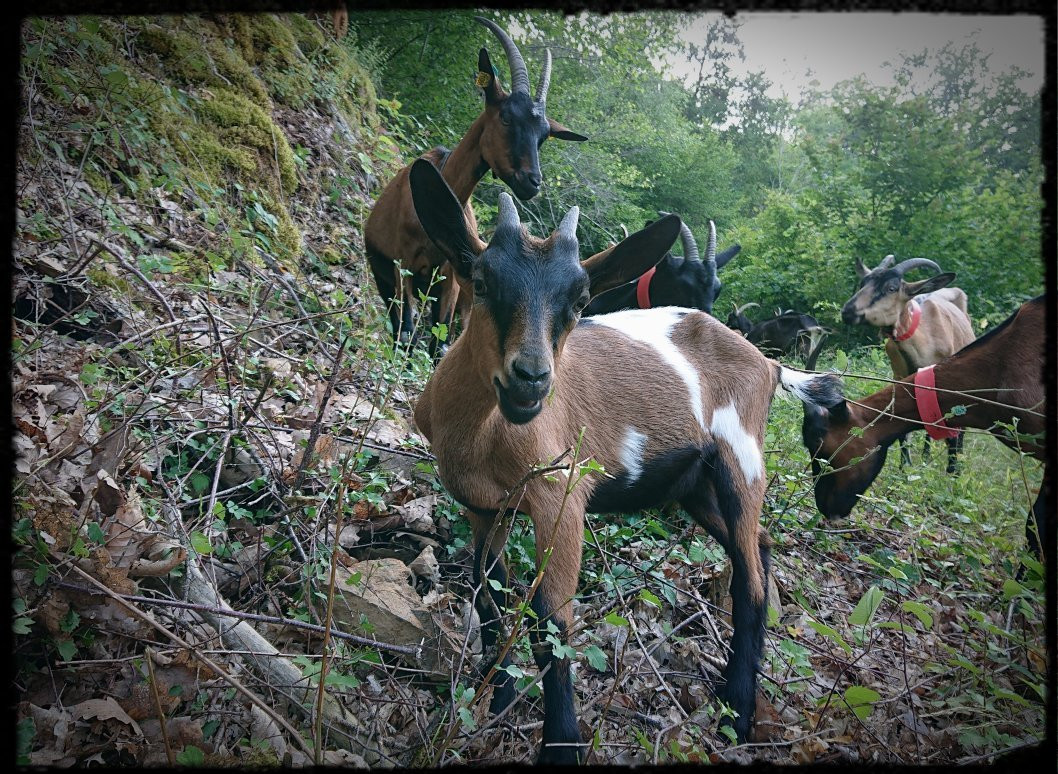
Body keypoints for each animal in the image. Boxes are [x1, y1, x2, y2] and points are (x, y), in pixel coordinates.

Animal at [363, 18, 588, 355]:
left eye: (544, 135)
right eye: (506, 116)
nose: (532, 182)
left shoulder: (449, 281)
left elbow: (439, 344)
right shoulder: (403, 267)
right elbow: (407, 335)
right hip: (384, 272)